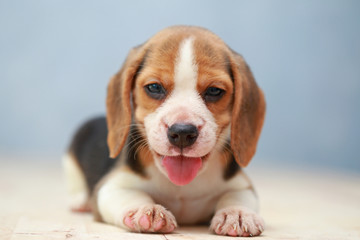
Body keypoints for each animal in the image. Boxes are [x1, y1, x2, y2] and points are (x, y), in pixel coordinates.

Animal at [64, 25, 268, 236]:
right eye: (154, 87)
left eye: (214, 91)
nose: (183, 133)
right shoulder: (110, 187)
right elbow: (131, 195)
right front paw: (146, 209)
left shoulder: (242, 186)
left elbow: (237, 196)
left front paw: (237, 213)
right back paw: (80, 202)